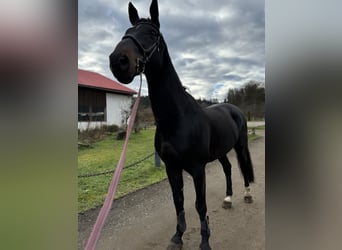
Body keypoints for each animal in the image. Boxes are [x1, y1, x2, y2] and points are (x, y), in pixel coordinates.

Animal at [109, 0, 254, 249]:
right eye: (127, 31)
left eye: (152, 33)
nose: (118, 61)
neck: (178, 119)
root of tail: (234, 109)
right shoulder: (172, 168)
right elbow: (178, 201)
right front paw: (177, 236)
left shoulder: (197, 169)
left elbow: (200, 205)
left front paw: (205, 241)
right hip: (221, 151)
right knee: (227, 168)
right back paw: (227, 198)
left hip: (240, 145)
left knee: (243, 167)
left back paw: (246, 194)